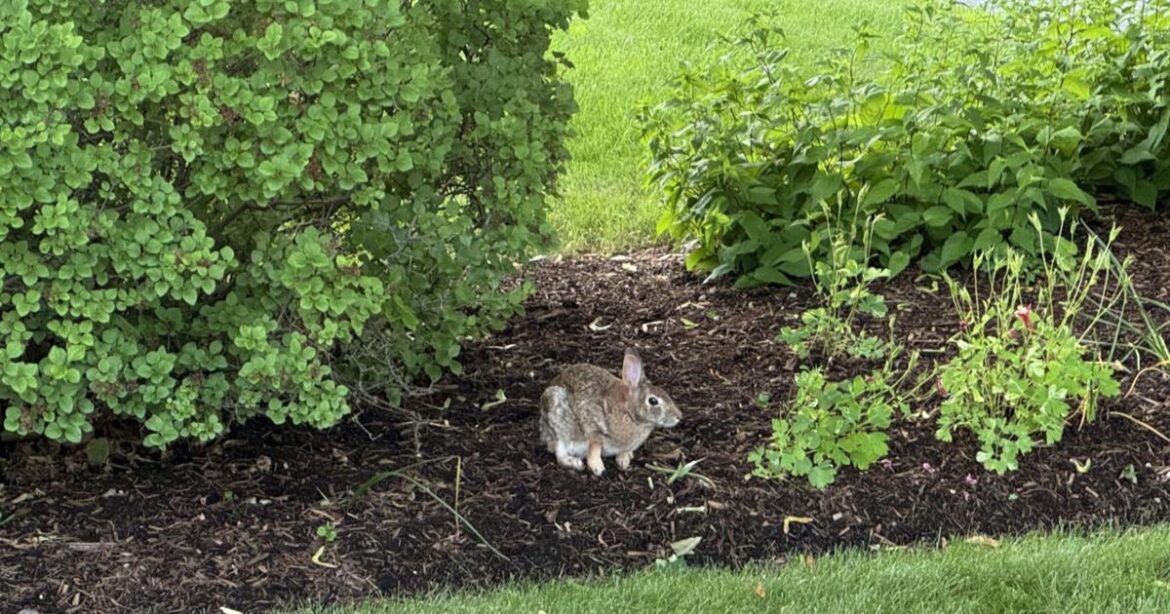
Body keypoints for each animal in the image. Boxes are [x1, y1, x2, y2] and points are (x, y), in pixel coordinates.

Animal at [539, 348, 681, 476]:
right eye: (653, 401)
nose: (679, 416)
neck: (629, 413)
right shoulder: (593, 425)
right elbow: (594, 446)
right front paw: (597, 467)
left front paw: (624, 460)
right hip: (559, 423)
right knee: (559, 452)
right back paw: (574, 462)